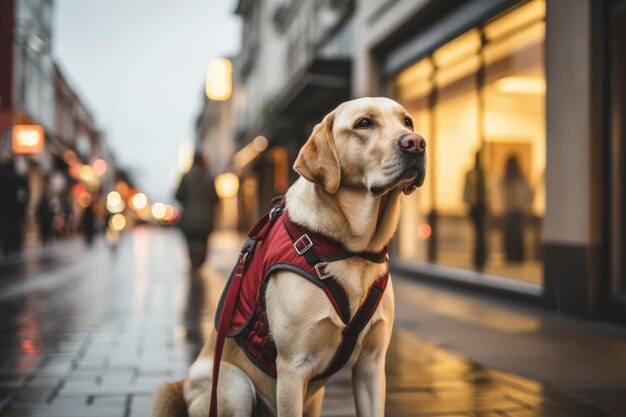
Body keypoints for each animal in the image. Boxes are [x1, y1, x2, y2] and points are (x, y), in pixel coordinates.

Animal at [153, 96, 424, 416]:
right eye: (364, 123)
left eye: (407, 122)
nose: (416, 143)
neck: (350, 249)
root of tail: (183, 386)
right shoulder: (293, 368)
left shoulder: (371, 364)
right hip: (233, 385)